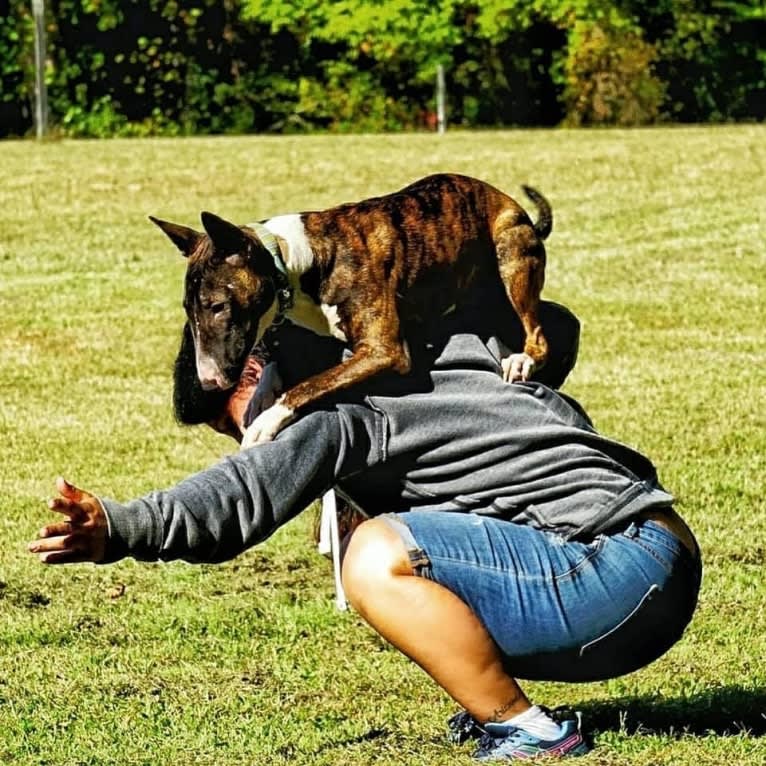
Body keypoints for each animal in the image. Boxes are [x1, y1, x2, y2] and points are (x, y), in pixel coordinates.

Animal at [153, 172, 556, 450]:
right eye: (188, 309)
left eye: (217, 306)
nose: (209, 381)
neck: (294, 260)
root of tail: (517, 210)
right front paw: (264, 392)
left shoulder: (384, 351)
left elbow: (310, 384)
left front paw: (268, 419)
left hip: (511, 254)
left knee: (537, 334)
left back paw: (522, 359)